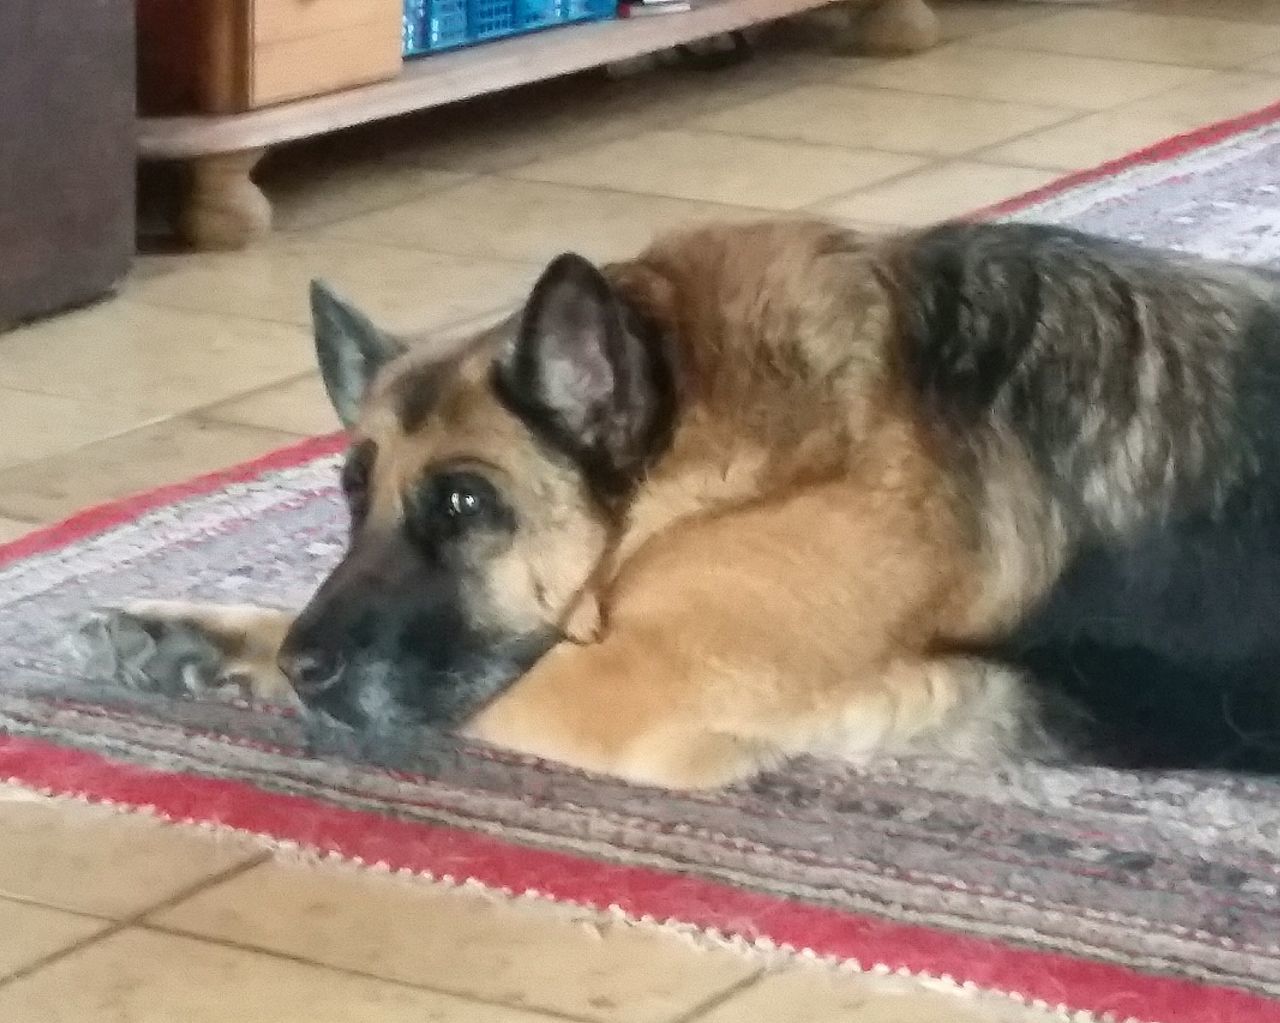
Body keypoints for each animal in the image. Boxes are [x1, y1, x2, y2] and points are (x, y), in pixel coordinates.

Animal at [85, 217, 1280, 783]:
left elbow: (457, 692)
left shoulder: (624, 686)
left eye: (465, 506)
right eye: (348, 498)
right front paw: (201, 635)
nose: (305, 666)